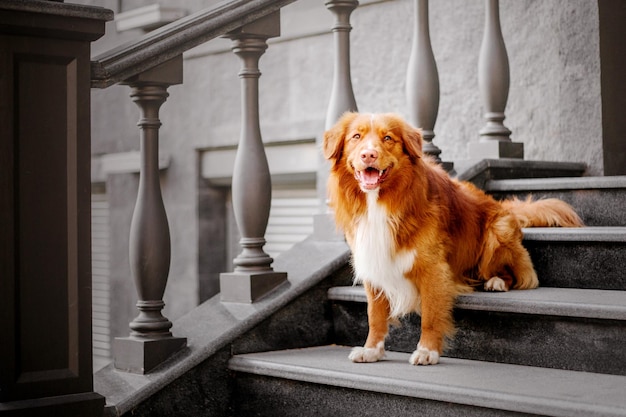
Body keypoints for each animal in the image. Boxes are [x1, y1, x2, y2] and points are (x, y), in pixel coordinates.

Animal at [324, 110, 584, 364]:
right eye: (356, 137)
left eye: (388, 138)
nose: (369, 155)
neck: (381, 202)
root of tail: (502, 205)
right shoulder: (372, 257)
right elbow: (375, 315)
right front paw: (372, 350)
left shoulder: (432, 267)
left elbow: (430, 314)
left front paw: (427, 351)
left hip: (496, 236)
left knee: (517, 274)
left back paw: (497, 282)